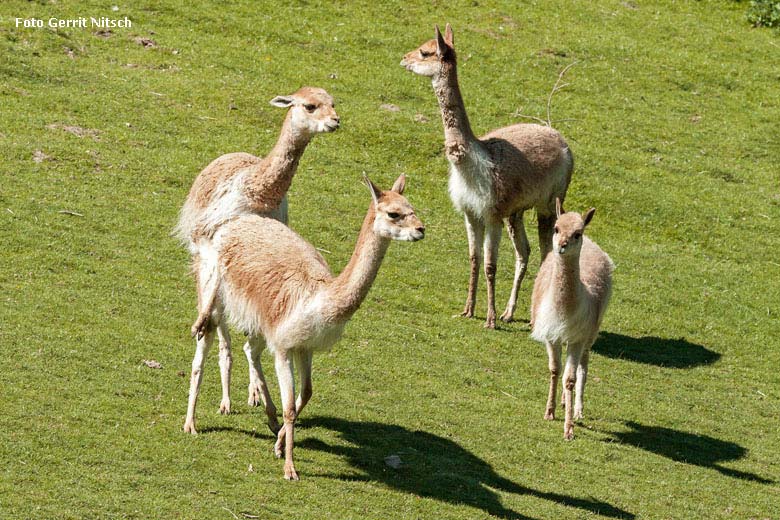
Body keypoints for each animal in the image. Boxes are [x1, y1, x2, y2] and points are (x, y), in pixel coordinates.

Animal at [184, 174, 426, 480]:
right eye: (394, 214)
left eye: (412, 206)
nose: (421, 229)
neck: (319, 299)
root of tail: (233, 223)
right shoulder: (284, 346)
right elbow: (290, 406)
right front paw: (290, 468)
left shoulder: (304, 346)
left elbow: (306, 393)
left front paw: (279, 444)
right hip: (213, 298)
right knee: (203, 350)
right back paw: (191, 424)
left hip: (259, 320)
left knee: (250, 350)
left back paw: (269, 416)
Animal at [532, 198, 616, 438]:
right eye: (556, 228)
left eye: (577, 233)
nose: (562, 245)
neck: (564, 311)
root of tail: (592, 243)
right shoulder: (551, 334)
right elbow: (554, 370)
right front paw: (549, 412)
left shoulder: (578, 336)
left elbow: (570, 379)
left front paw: (569, 428)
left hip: (591, 332)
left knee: (583, 367)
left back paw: (577, 409)